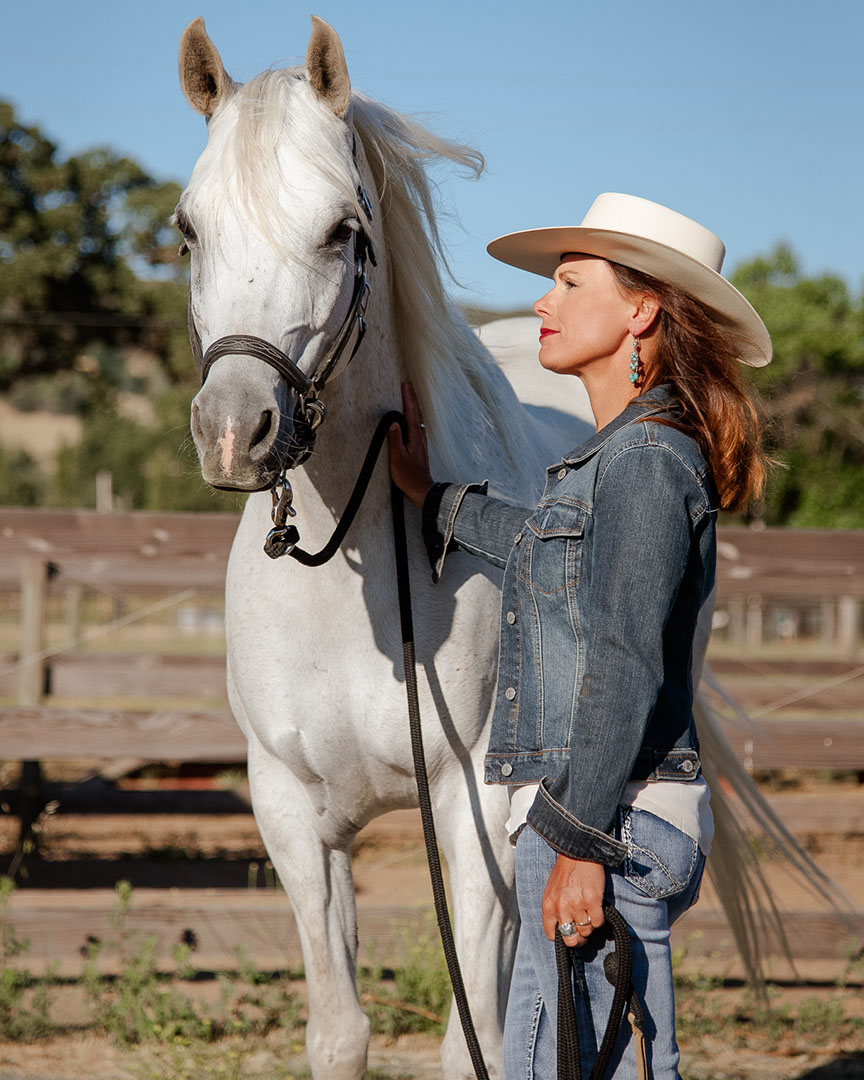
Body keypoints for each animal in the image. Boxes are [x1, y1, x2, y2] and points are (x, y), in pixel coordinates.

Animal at [175, 15, 841, 1079]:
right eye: (188, 229)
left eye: (342, 230)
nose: (236, 430)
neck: (358, 597)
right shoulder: (290, 819)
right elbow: (340, 1034)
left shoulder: (475, 812)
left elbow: (474, 1041)